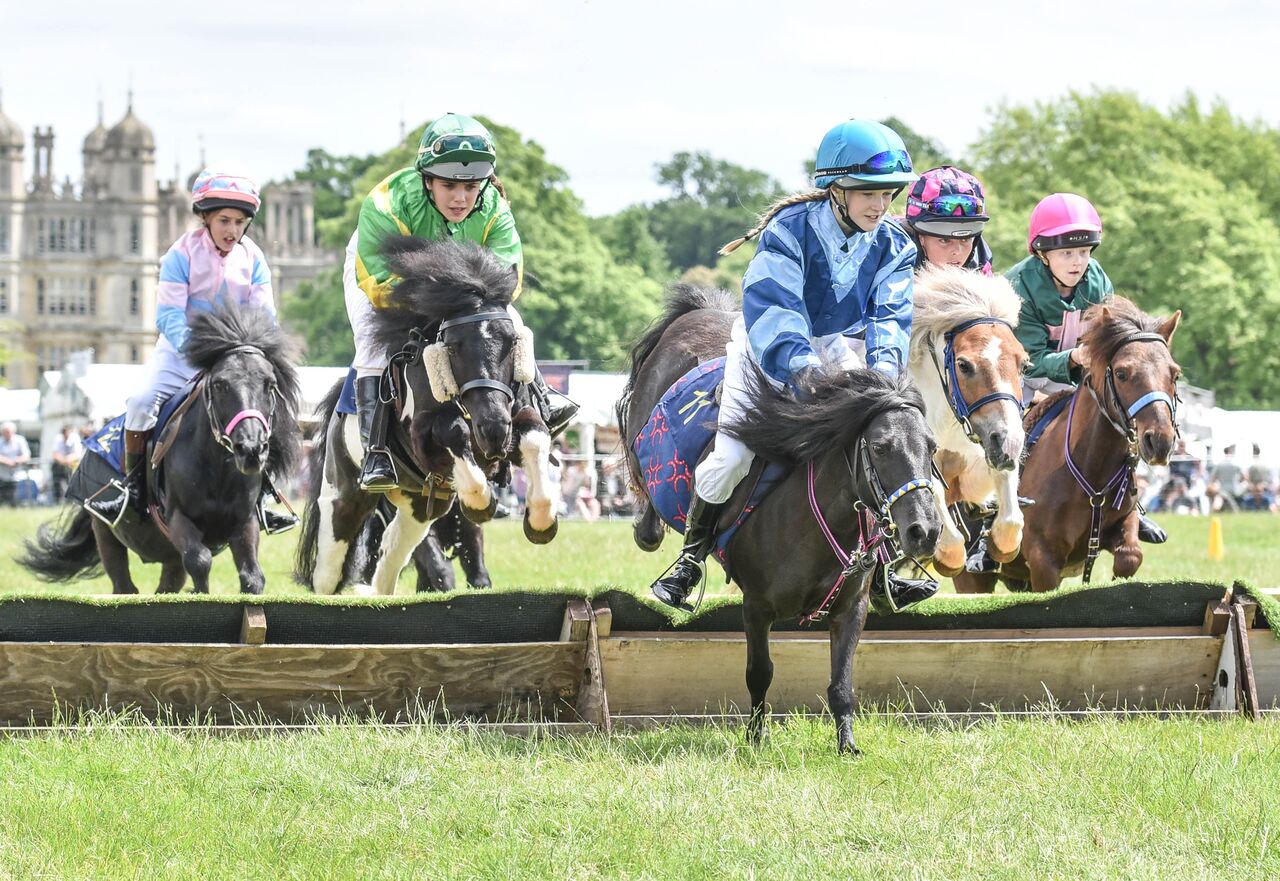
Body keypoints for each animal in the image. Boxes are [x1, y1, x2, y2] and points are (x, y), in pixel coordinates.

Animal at [19, 306, 299, 594]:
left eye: (270, 384)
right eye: (220, 384)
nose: (251, 449)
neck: (217, 468)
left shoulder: (244, 521)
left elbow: (252, 576)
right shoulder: (178, 518)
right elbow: (200, 561)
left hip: (169, 557)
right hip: (106, 534)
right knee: (124, 584)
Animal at [619, 285, 942, 752]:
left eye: (931, 447)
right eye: (880, 447)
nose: (925, 531)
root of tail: (701, 312)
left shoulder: (851, 609)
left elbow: (841, 684)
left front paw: (847, 745)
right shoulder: (756, 607)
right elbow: (760, 673)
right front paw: (757, 738)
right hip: (642, 439)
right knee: (646, 490)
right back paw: (662, 551)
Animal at [911, 265, 1029, 573]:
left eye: (1024, 364)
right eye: (963, 365)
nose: (1009, 443)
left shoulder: (983, 455)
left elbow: (1011, 518)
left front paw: (998, 545)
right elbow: (949, 536)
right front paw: (945, 556)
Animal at [957, 299, 1182, 594]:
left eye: (1174, 374)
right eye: (1122, 373)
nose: (1160, 441)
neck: (1092, 468)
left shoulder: (1123, 526)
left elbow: (1130, 556)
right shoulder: (1044, 561)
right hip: (971, 578)